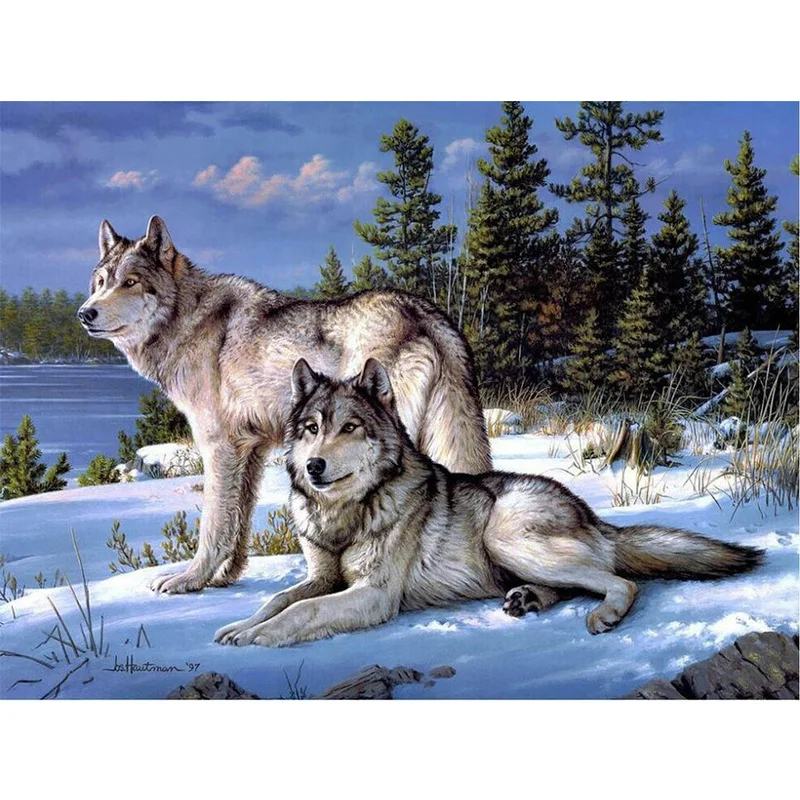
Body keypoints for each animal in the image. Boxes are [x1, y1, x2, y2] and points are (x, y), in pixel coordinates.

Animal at [78, 216, 491, 594]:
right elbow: (238, 523)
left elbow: (213, 525)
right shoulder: (251, 450)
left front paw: (189, 580)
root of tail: (424, 311)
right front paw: (224, 578)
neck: (188, 320)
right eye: (100, 283)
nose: (85, 313)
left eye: (130, 282)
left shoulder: (218, 447)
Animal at [214, 358, 763, 647]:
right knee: (576, 583)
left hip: (505, 536)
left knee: (621, 582)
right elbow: (277, 601)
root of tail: (590, 514)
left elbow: (301, 613)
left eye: (349, 427)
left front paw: (256, 636)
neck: (345, 515)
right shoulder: (321, 577)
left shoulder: (373, 594)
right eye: (311, 429)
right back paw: (528, 600)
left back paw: (602, 615)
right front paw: (239, 625)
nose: (314, 467)